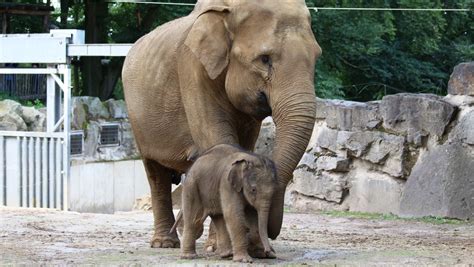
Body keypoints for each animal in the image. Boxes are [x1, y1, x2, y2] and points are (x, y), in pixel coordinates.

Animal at [122, 0, 322, 250]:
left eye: (316, 57)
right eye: (264, 59)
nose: (267, 236)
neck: (228, 9)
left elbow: (242, 145)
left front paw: (224, 244)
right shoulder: (192, 68)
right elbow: (219, 138)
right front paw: (226, 245)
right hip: (138, 120)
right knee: (155, 173)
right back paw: (164, 244)